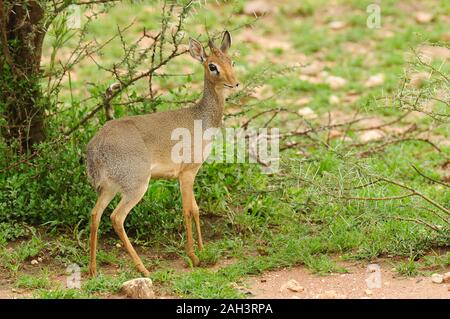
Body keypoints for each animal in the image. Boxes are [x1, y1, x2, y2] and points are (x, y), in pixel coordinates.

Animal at [85, 31, 239, 276]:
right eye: (212, 65)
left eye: (231, 61)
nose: (234, 84)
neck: (200, 117)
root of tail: (95, 147)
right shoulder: (186, 174)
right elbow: (187, 210)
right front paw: (194, 257)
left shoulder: (191, 174)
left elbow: (196, 209)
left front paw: (203, 250)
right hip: (137, 186)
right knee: (116, 218)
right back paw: (144, 270)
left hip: (109, 188)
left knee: (95, 215)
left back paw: (92, 270)